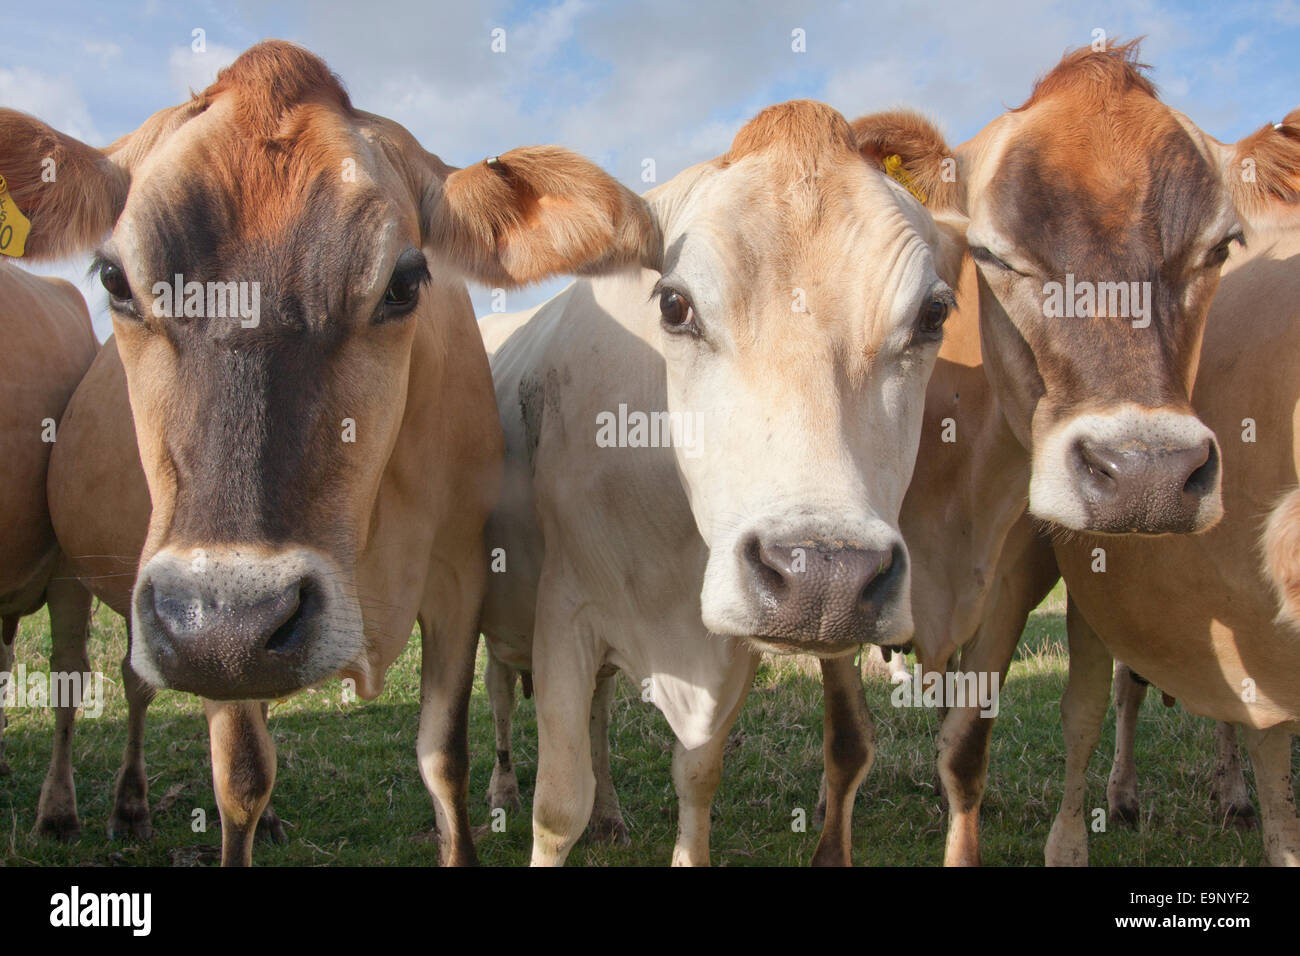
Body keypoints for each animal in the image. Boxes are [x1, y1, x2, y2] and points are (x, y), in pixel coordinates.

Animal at [2, 41, 660, 868]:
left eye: (405, 282)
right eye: (116, 279)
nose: (228, 622)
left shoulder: (460, 577)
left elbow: (444, 755)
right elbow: (241, 776)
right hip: (100, 586)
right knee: (97, 681)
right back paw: (89, 808)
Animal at [478, 98, 967, 868]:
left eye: (933, 314)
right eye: (674, 306)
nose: (825, 579)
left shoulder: (730, 644)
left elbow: (697, 773)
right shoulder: (564, 612)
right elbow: (557, 805)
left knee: (600, 716)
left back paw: (612, 812)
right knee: (501, 695)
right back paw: (501, 788)